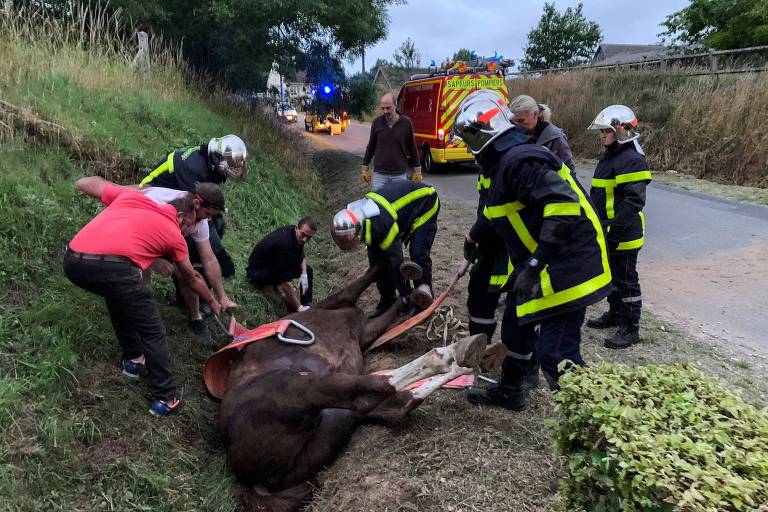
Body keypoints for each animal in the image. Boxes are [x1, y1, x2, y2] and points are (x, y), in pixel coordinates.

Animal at [210, 268, 504, 512]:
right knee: (374, 389)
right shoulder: (352, 317)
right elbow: (362, 286)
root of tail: (248, 479)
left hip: (336, 423)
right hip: (298, 386)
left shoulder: (364, 330)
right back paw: (451, 353)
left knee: (395, 405)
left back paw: (469, 361)